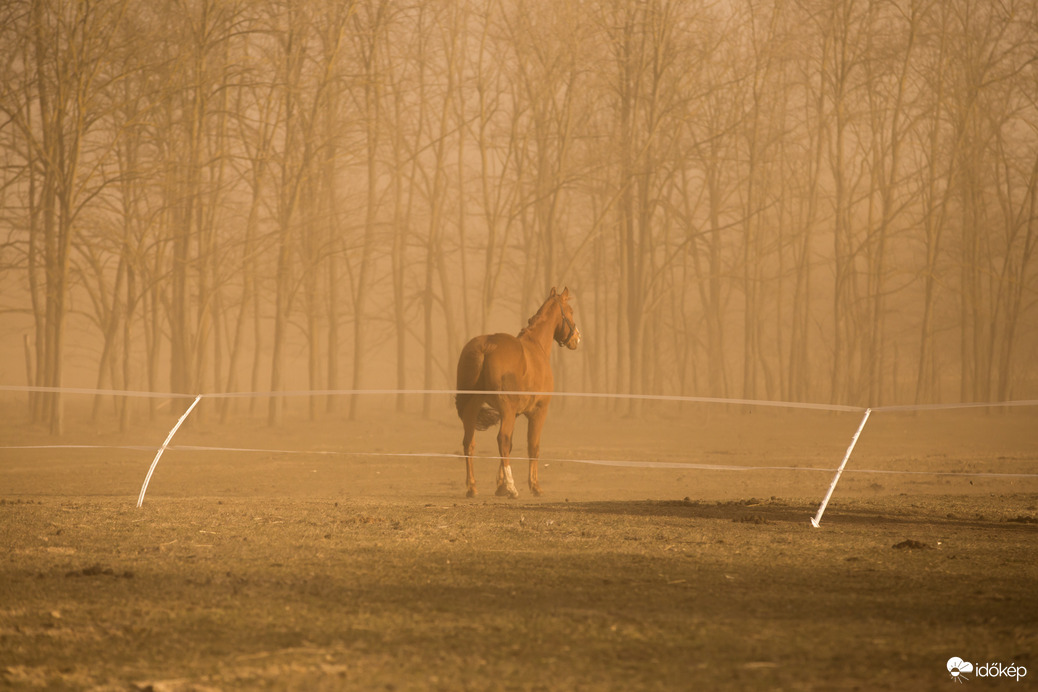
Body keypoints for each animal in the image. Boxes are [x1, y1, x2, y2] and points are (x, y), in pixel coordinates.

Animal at [456, 286, 581, 497]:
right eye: (570, 311)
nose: (577, 338)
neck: (536, 348)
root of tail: (486, 346)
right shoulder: (538, 412)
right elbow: (533, 446)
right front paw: (533, 486)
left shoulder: (513, 414)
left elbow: (512, 445)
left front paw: (500, 485)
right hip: (503, 410)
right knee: (502, 440)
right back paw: (512, 487)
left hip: (472, 408)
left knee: (469, 443)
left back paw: (472, 487)